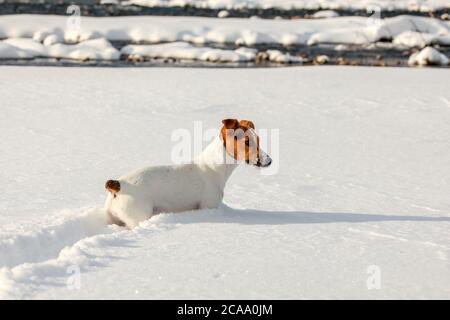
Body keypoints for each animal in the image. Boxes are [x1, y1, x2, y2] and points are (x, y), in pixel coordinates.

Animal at [104, 119, 272, 228]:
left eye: (258, 140)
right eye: (247, 142)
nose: (269, 160)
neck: (213, 167)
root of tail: (119, 185)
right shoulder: (208, 206)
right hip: (138, 216)